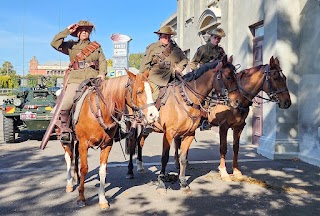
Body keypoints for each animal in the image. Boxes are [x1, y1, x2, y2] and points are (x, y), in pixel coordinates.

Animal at [64, 71, 159, 209]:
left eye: (151, 90)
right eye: (139, 91)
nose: (154, 115)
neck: (100, 110)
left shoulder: (107, 145)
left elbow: (102, 171)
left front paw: (102, 199)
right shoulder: (84, 144)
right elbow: (84, 169)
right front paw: (81, 197)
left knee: (75, 155)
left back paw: (76, 177)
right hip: (68, 138)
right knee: (68, 157)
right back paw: (69, 183)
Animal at [126, 55, 239, 191]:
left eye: (236, 76)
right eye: (228, 76)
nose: (237, 101)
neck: (186, 100)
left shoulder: (189, 134)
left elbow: (183, 158)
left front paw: (183, 181)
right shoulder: (168, 134)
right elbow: (164, 158)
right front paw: (161, 182)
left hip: (146, 128)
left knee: (140, 141)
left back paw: (140, 166)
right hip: (133, 123)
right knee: (132, 142)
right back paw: (130, 170)